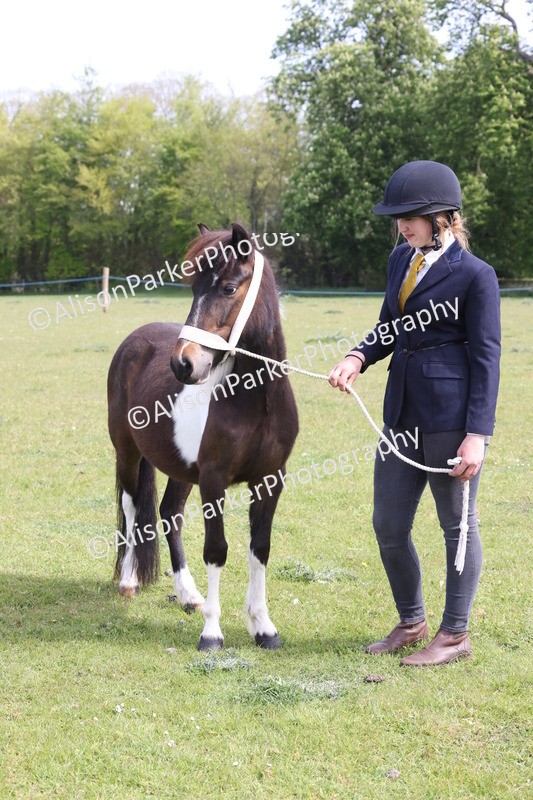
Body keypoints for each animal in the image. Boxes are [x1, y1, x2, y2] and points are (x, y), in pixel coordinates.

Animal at [107, 222, 299, 650]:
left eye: (228, 288)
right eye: (193, 288)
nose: (183, 364)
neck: (256, 400)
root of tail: (134, 340)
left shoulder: (270, 480)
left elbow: (259, 548)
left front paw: (263, 627)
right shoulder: (214, 480)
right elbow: (217, 550)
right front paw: (212, 632)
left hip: (179, 468)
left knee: (169, 514)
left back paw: (188, 595)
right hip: (127, 453)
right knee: (133, 509)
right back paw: (128, 582)